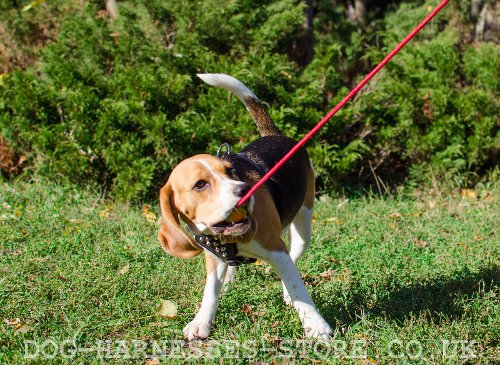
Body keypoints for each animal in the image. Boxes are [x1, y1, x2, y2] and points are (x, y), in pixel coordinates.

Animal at [158, 73, 334, 338]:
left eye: (230, 171)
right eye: (200, 185)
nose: (244, 191)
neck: (229, 238)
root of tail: (273, 135)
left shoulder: (276, 249)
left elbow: (297, 286)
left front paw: (316, 325)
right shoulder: (213, 257)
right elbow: (210, 291)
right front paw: (201, 321)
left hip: (304, 225)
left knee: (295, 255)